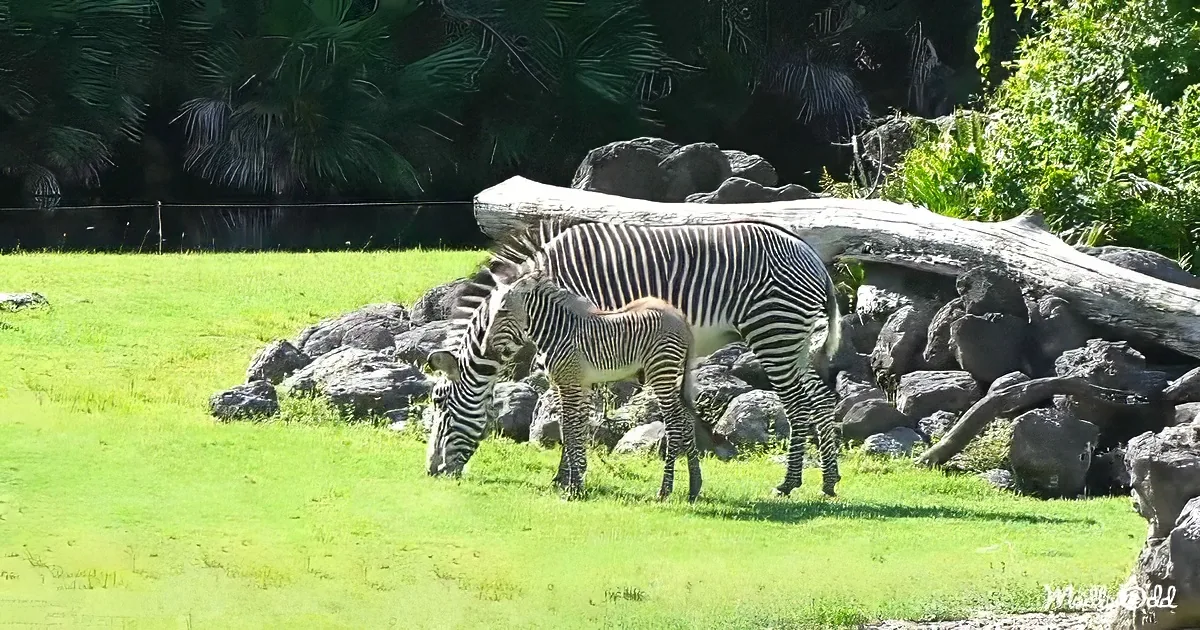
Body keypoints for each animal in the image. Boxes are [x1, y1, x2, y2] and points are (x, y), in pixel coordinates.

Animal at [473, 269, 703, 501]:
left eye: (503, 312)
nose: (484, 351)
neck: (559, 330)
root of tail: (680, 317)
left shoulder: (569, 383)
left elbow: (569, 427)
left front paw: (573, 485)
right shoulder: (577, 385)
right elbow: (575, 427)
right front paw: (575, 479)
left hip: (662, 371)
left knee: (675, 422)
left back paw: (665, 490)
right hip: (671, 374)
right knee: (686, 418)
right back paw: (694, 486)